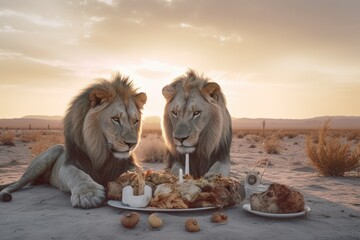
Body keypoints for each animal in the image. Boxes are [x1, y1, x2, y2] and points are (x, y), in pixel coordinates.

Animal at [0, 74, 146, 208]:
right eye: (115, 119)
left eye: (135, 121)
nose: (132, 144)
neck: (100, 151)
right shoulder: (70, 163)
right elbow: (77, 174)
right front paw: (88, 194)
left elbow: (137, 170)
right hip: (45, 158)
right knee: (17, 184)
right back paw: (6, 194)